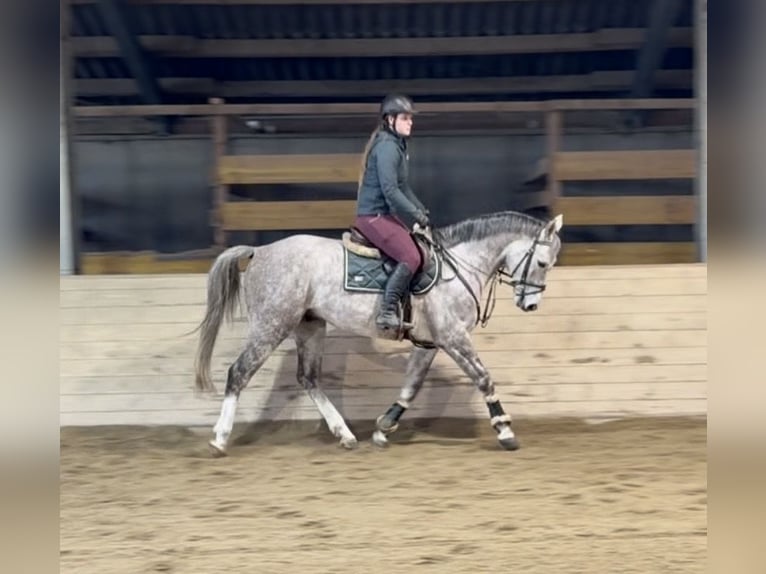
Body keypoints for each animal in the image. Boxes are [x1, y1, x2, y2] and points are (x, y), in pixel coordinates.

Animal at [193, 210, 563, 454]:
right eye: (543, 263)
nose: (531, 304)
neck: (458, 265)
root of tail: (261, 251)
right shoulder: (454, 337)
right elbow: (484, 378)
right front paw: (504, 430)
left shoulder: (429, 343)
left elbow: (411, 386)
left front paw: (385, 428)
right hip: (272, 324)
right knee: (239, 373)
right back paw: (220, 437)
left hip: (309, 326)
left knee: (308, 379)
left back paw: (344, 434)